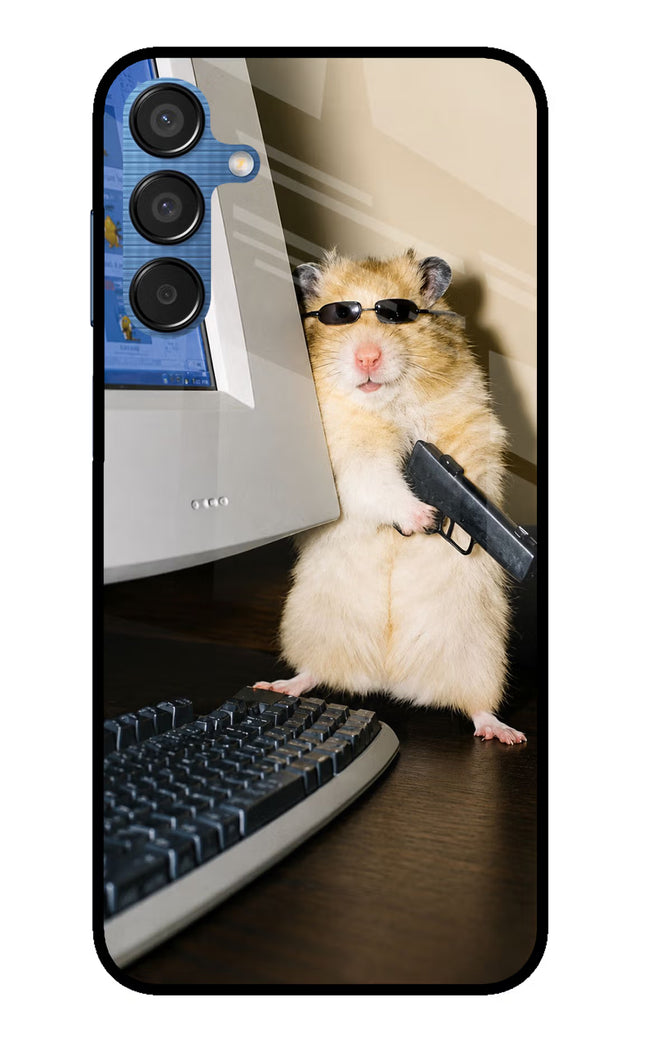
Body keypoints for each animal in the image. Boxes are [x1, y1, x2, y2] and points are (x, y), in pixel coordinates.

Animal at [255, 249, 526, 744]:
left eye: (397, 314)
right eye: (339, 316)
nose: (367, 357)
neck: (386, 404)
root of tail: (389, 679)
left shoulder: (472, 429)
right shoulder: (347, 458)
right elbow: (378, 482)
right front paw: (423, 518)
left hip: (479, 654)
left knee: (477, 706)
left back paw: (504, 733)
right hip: (311, 626)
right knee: (314, 672)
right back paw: (279, 685)